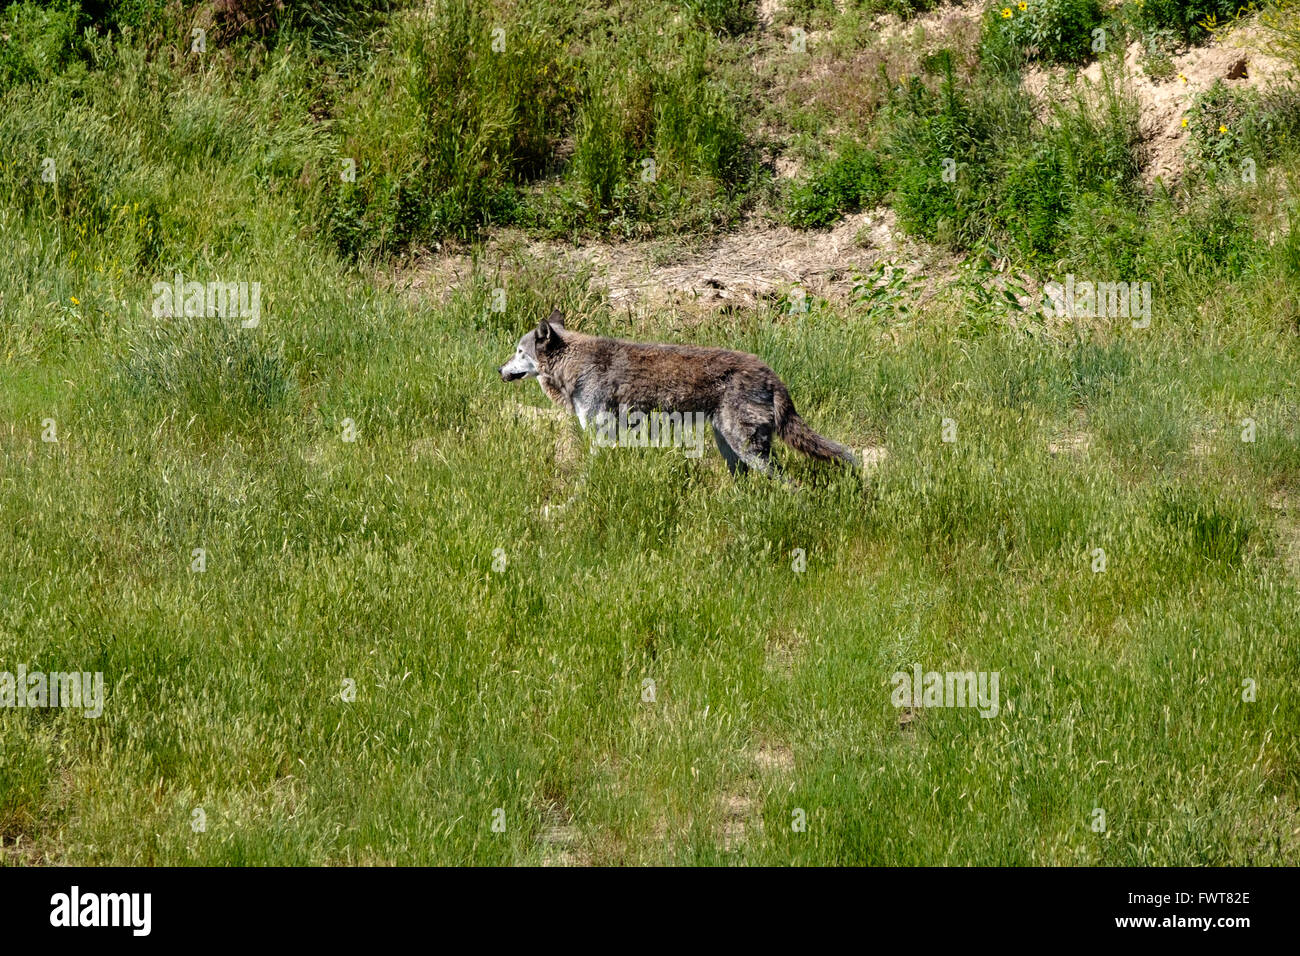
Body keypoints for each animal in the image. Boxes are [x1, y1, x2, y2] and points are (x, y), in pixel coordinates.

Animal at [493, 310, 852, 476]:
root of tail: (772, 375)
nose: (498, 369)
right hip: (730, 450)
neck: (576, 366)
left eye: (518, 351)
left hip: (748, 449)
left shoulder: (601, 434)